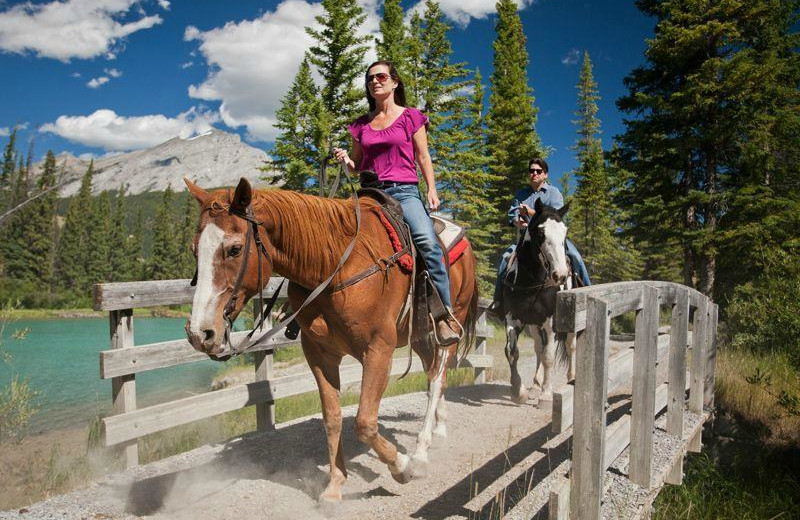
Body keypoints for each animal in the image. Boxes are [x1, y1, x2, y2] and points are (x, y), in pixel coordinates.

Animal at [184, 178, 478, 500]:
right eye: (194, 250)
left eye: (235, 249)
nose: (200, 333)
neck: (336, 266)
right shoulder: (319, 354)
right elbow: (332, 416)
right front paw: (335, 484)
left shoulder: (379, 350)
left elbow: (364, 422)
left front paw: (402, 467)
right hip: (420, 337)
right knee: (433, 376)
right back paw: (440, 428)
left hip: (451, 322)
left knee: (437, 379)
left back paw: (422, 452)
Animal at [504, 197, 572, 404]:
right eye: (541, 232)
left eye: (565, 232)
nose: (560, 275)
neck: (531, 282)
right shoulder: (513, 318)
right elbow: (512, 352)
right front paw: (519, 391)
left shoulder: (550, 322)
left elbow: (549, 357)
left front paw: (547, 395)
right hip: (534, 326)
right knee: (538, 349)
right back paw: (535, 385)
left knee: (570, 346)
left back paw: (570, 379)